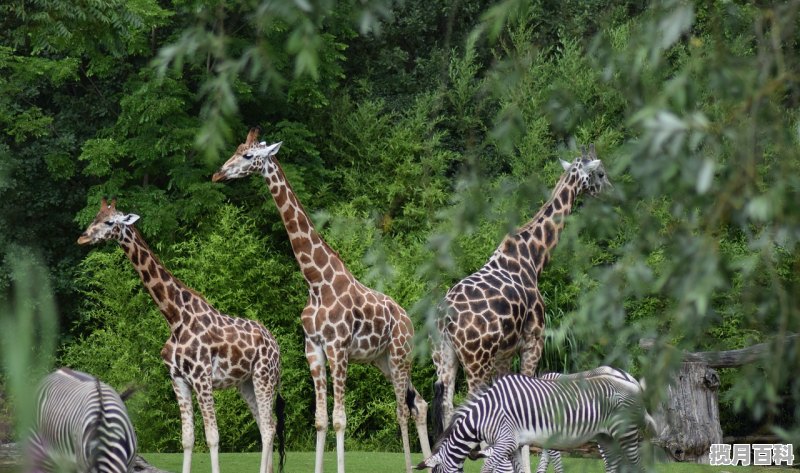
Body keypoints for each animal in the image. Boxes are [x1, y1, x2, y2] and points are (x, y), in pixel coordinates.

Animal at [76, 197, 288, 472]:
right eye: (95, 217)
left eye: (110, 222)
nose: (82, 238)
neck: (174, 318)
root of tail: (275, 343)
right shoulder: (178, 379)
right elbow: (187, 438)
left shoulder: (202, 377)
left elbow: (212, 437)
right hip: (246, 382)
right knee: (266, 424)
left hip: (265, 376)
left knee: (270, 426)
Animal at [214, 125, 432, 472]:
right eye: (235, 150)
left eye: (248, 155)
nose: (218, 174)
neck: (316, 281)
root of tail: (409, 319)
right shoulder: (313, 349)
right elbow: (320, 420)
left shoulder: (338, 348)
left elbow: (340, 418)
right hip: (382, 360)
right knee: (419, 404)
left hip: (400, 354)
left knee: (402, 410)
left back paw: (411, 466)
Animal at [416, 368, 652, 472]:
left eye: (437, 472)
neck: (485, 415)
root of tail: (632, 381)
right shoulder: (512, 446)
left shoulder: (505, 442)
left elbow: (487, 469)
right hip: (605, 436)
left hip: (625, 433)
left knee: (638, 465)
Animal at [432, 144, 612, 436]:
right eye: (601, 173)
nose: (612, 191)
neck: (533, 258)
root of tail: (444, 319)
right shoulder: (533, 340)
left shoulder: (504, 353)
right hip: (475, 359)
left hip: (443, 356)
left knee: (447, 405)